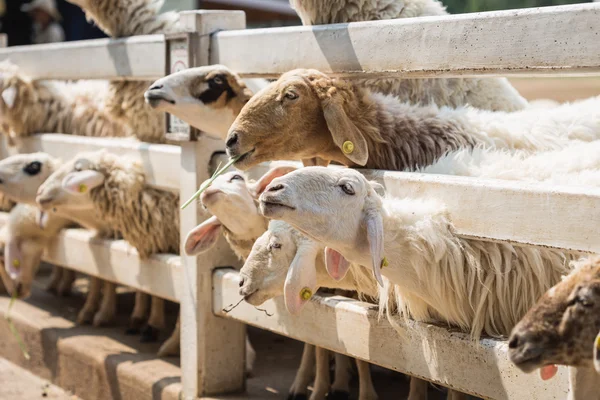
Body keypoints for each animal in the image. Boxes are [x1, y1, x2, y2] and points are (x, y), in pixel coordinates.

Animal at [0, 152, 119, 326]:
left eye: (34, 166)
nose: (15, 293)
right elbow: (96, 274)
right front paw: (89, 309)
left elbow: (109, 277)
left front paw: (103, 314)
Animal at [185, 167, 378, 400]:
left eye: (236, 177)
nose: (206, 193)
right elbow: (319, 342)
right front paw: (312, 385)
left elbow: (355, 351)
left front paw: (363, 392)